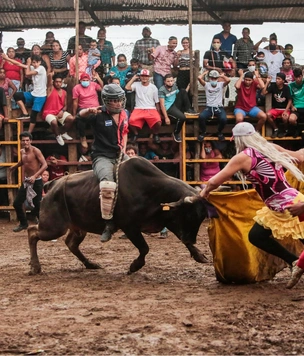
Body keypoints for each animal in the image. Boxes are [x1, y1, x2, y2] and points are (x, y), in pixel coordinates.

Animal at [27, 156, 209, 276]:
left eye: (200, 217)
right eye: (189, 215)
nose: (192, 238)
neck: (153, 189)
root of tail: (52, 184)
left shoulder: (169, 219)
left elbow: (180, 239)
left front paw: (199, 255)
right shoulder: (130, 227)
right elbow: (144, 248)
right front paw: (134, 266)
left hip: (78, 227)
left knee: (71, 244)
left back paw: (91, 264)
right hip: (53, 227)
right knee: (32, 232)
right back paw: (35, 266)